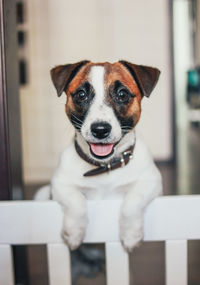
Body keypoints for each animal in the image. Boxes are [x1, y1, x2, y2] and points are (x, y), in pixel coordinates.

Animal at [42, 59, 162, 251]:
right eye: (81, 94)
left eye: (122, 94)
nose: (100, 129)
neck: (104, 166)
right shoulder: (59, 184)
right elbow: (77, 202)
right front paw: (74, 233)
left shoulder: (152, 181)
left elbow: (132, 203)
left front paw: (131, 235)